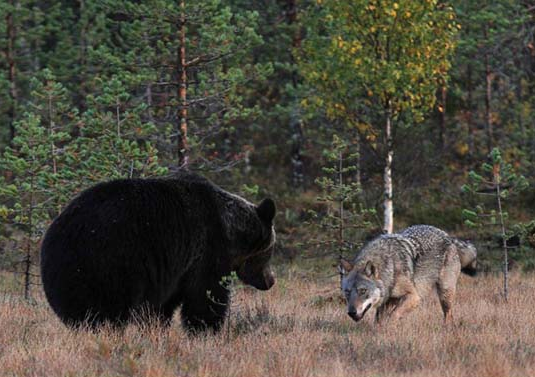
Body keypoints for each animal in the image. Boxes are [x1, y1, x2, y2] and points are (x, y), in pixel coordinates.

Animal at [40, 170, 276, 332]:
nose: (270, 280)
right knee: (109, 307)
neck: (232, 230)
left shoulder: (172, 270)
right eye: (269, 252)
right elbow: (205, 296)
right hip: (110, 262)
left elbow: (162, 306)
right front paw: (206, 329)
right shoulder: (208, 251)